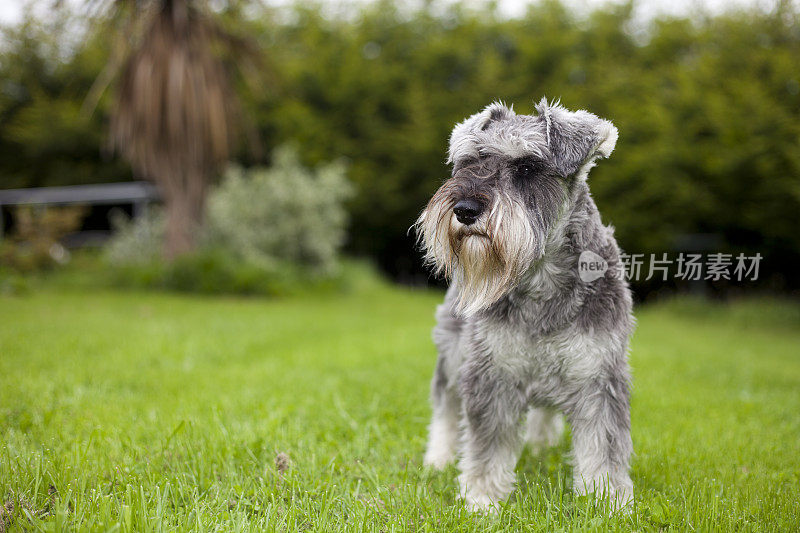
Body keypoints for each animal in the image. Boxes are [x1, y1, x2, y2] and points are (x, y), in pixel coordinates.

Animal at [416, 98, 636, 512]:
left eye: (527, 168)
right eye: (469, 162)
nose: (465, 209)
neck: (540, 282)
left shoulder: (598, 376)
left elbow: (603, 445)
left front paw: (607, 501)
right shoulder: (491, 374)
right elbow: (487, 445)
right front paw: (482, 499)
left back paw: (540, 445)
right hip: (452, 354)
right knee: (446, 406)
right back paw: (438, 458)